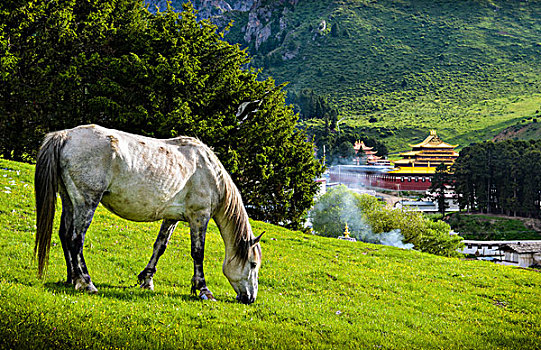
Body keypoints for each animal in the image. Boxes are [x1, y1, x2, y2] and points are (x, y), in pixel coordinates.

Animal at [33, 123, 262, 304]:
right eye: (253, 264)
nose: (250, 299)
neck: (211, 173)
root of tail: (65, 135)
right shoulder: (200, 217)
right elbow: (198, 253)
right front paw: (203, 290)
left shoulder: (171, 218)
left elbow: (160, 247)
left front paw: (147, 280)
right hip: (86, 201)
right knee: (76, 239)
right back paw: (86, 282)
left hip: (69, 200)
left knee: (65, 235)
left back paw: (72, 279)